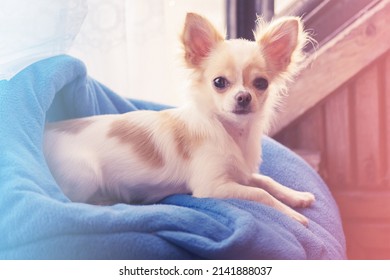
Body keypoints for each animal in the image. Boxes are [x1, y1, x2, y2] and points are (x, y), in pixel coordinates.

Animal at [44, 13, 316, 226]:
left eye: (261, 84)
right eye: (219, 82)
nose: (243, 97)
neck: (230, 131)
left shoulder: (239, 173)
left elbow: (265, 180)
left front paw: (296, 196)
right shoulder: (212, 187)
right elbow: (260, 193)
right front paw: (293, 215)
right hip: (86, 173)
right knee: (69, 202)